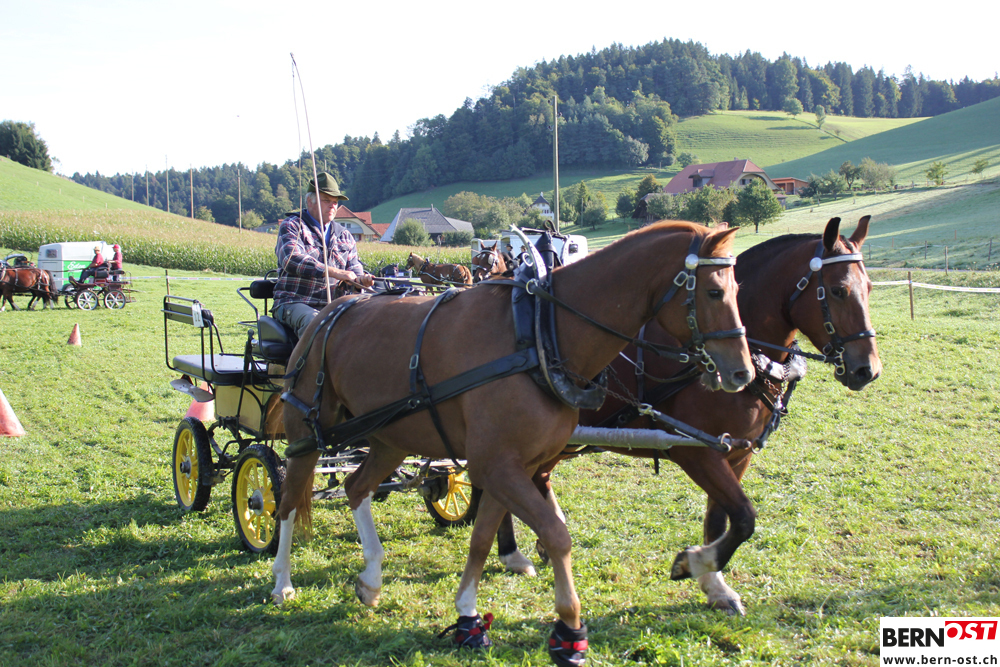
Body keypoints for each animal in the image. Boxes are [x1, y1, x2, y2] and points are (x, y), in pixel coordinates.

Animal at [270, 221, 754, 665]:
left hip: (391, 439)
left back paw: (371, 578)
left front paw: (467, 616)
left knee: (356, 488)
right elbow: (556, 535)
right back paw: (281, 581)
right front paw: (569, 629)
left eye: (738, 288)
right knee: (289, 501)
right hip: (305, 435)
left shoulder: (512, 466)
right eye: (714, 292)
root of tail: (329, 311)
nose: (743, 372)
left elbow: (481, 539)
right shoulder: (497, 466)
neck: (538, 334)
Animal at [492, 216, 882, 617]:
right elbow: (744, 517)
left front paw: (715, 585)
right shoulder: (696, 452)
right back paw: (512, 552)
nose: (867, 369)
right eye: (837, 290)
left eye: (868, 287)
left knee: (532, 479)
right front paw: (693, 564)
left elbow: (720, 520)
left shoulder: (736, 454)